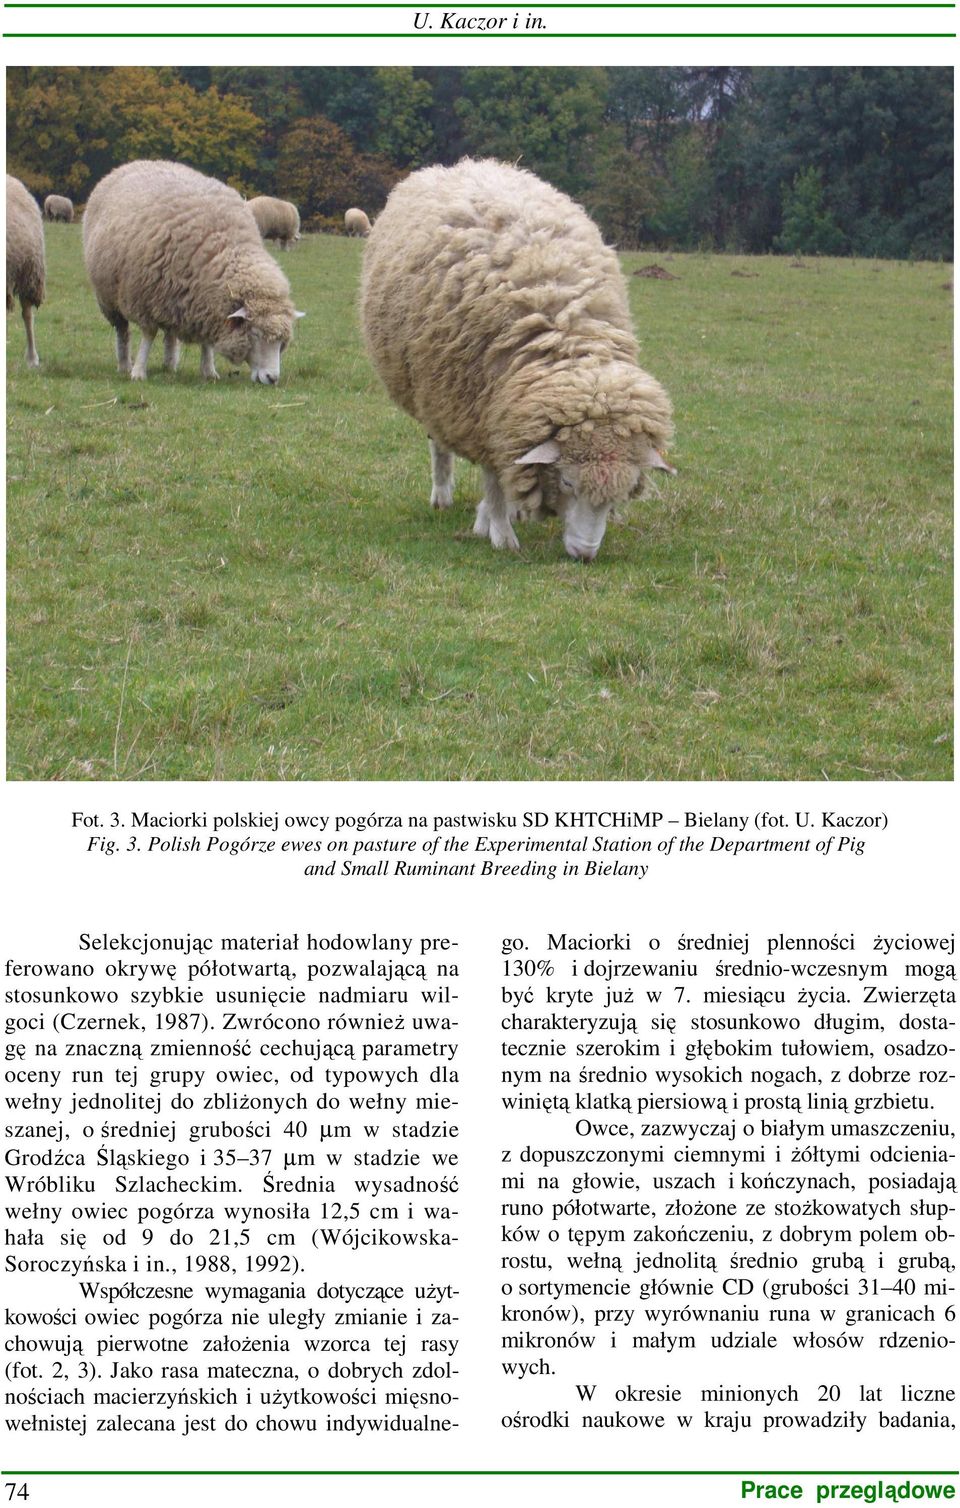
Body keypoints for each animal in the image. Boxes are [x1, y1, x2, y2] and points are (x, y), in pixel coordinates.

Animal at [86, 157, 304, 383]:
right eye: (255, 334)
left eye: (282, 343)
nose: (272, 378)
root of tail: (141, 161)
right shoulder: (144, 299)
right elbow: (148, 335)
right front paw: (138, 371)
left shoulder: (204, 304)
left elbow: (206, 342)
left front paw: (209, 370)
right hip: (109, 297)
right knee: (122, 330)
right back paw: (124, 364)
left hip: (171, 295)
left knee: (170, 333)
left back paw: (169, 364)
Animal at [358, 159, 675, 563]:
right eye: (567, 480)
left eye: (623, 491)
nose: (585, 555)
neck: (564, 336)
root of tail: (463, 164)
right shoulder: (477, 409)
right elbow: (494, 479)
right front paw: (499, 531)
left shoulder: (508, 416)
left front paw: (496, 516)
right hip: (436, 393)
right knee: (438, 444)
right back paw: (442, 495)